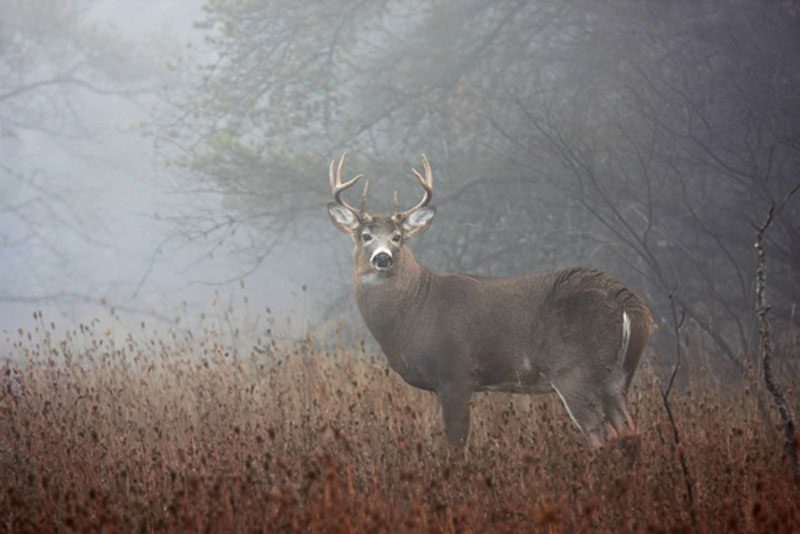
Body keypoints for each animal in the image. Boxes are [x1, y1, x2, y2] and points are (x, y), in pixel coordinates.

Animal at [324, 153, 648, 450]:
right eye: (365, 236)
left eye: (397, 237)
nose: (382, 258)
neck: (414, 310)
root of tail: (630, 305)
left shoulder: (455, 372)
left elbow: (456, 442)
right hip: (616, 378)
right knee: (629, 431)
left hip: (575, 370)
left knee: (601, 437)